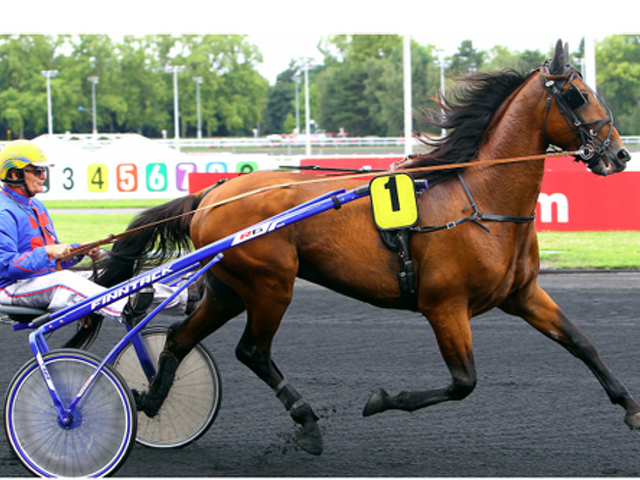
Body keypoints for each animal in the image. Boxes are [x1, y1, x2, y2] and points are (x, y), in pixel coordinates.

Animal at [96, 41, 638, 456]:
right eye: (578, 95)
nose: (619, 154)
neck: (479, 200)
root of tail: (212, 192)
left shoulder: (522, 294)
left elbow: (582, 343)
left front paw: (631, 408)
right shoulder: (444, 306)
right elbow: (463, 383)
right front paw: (381, 399)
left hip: (230, 288)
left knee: (179, 338)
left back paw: (151, 403)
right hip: (270, 284)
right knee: (251, 350)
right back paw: (306, 422)